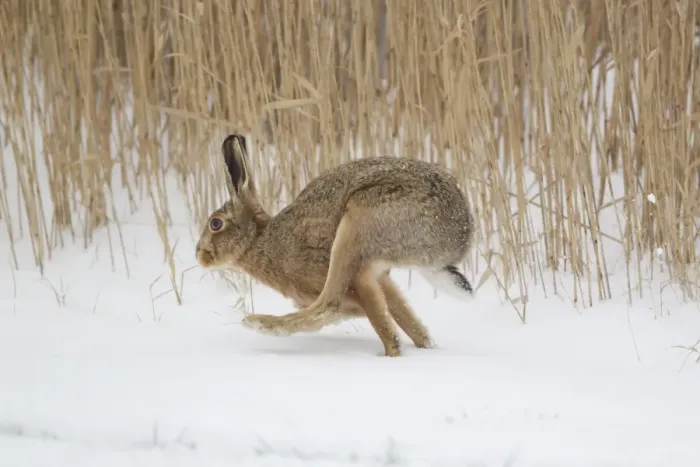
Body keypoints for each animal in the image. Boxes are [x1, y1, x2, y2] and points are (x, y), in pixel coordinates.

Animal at [195, 134, 475, 357]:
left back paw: (260, 323)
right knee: (415, 331)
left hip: (356, 226)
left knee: (329, 305)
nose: (199, 255)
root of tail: (460, 234)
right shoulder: (381, 281)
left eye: (215, 224)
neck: (260, 239)